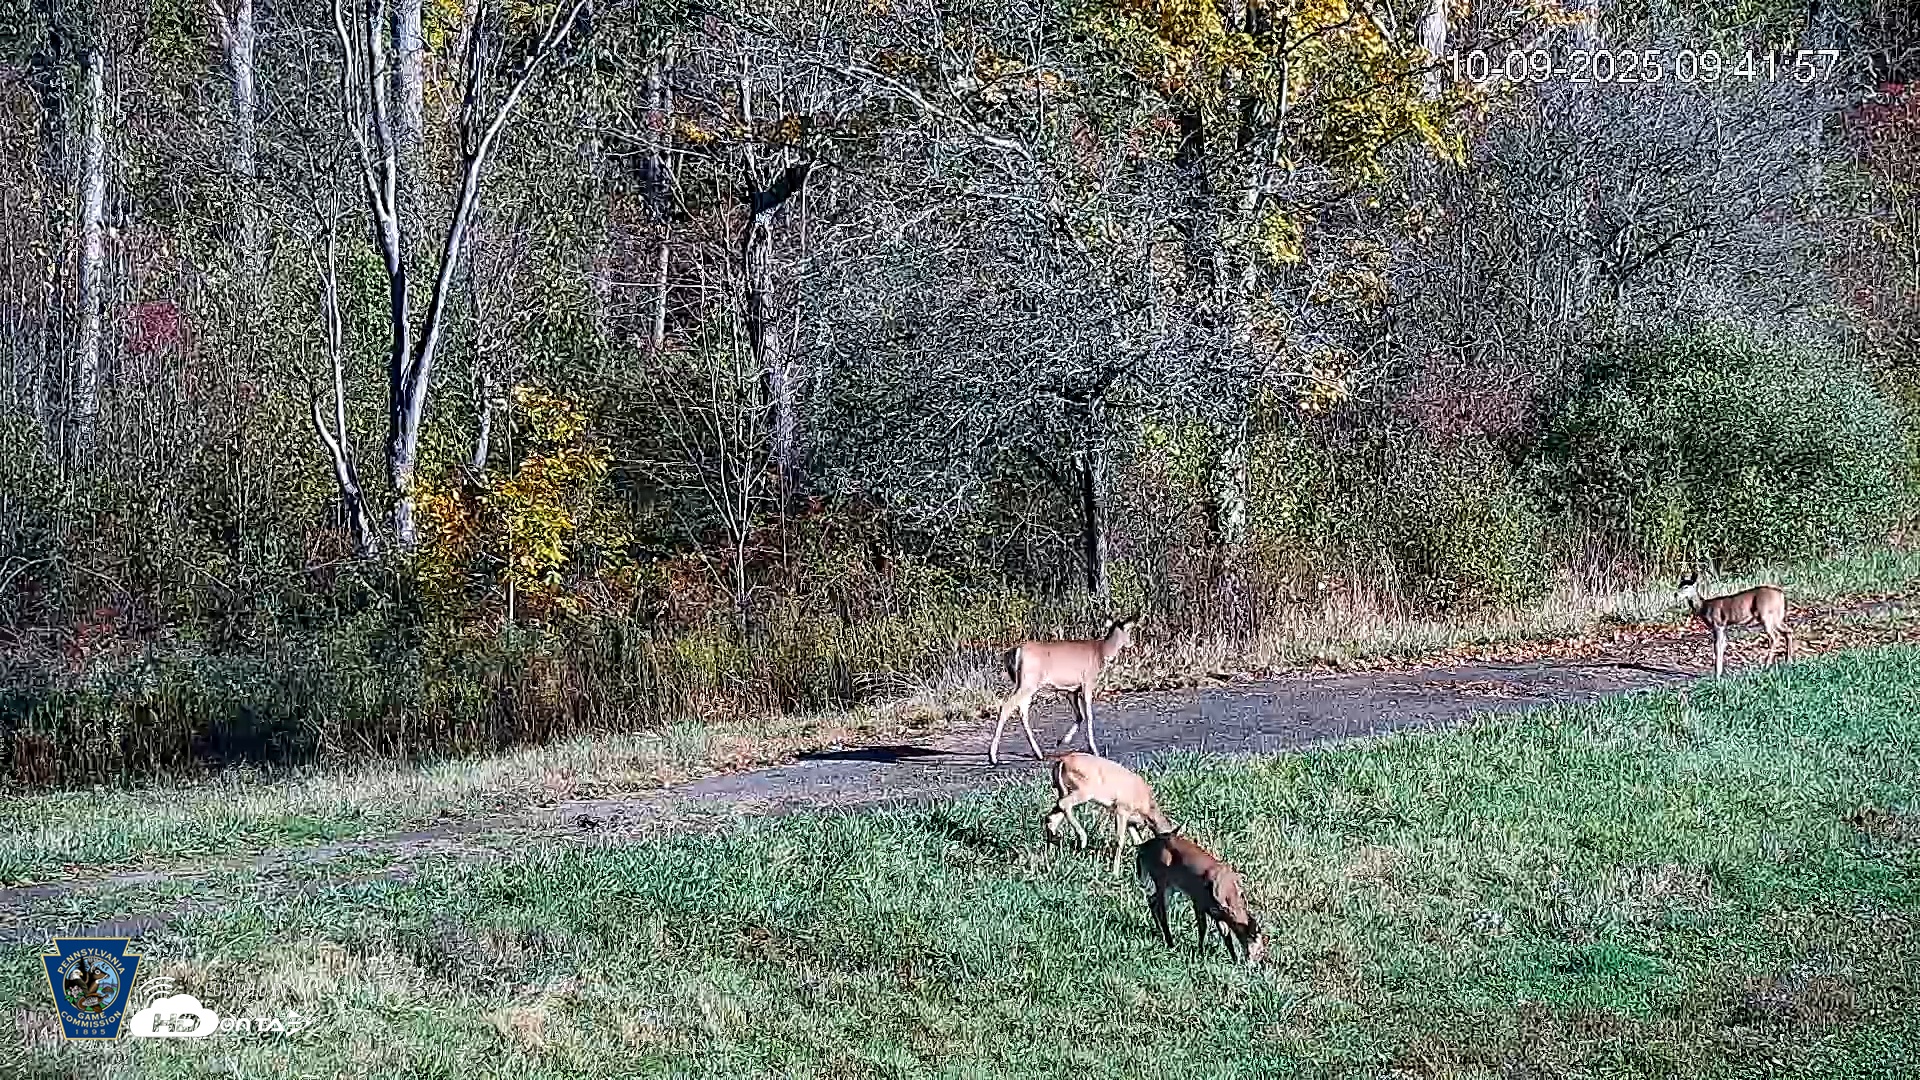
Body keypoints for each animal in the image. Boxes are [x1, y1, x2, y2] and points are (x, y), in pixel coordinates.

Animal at [989, 614, 1139, 766]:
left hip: (1025, 683)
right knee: (1007, 706)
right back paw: (993, 757)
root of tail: (1016, 651)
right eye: (1128, 630)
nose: (1131, 643)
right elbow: (1089, 715)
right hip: (1028, 682)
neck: (1101, 652)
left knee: (1022, 710)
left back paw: (1038, 754)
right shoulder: (1087, 682)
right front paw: (1094, 749)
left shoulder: (1072, 689)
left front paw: (1062, 741)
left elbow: (1079, 715)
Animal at [1043, 752, 1175, 876]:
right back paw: (1082, 838)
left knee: (1052, 817)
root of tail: (1062, 761)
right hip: (1084, 790)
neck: (1147, 808)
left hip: (1064, 790)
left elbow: (1138, 841)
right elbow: (1120, 840)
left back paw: (1050, 855)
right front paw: (1115, 872)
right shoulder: (1121, 809)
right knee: (1063, 804)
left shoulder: (1130, 820)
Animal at [1136, 829, 1267, 966]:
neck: (1228, 894)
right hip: (1161, 877)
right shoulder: (1198, 899)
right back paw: (1170, 943)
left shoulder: (1217, 913)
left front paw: (1234, 960)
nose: (1257, 964)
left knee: (1152, 900)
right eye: (1261, 951)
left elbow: (1226, 935)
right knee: (1161, 910)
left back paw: (1158, 933)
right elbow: (1203, 928)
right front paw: (1201, 954)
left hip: (1169, 886)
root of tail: (1143, 848)